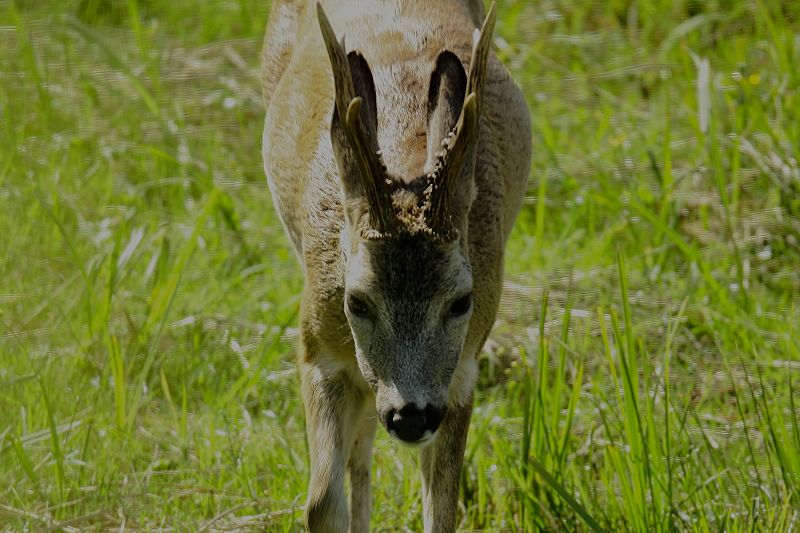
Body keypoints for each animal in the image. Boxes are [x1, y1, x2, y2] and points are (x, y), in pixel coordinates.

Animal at [260, 2, 532, 528]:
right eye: (356, 300)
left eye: (461, 301)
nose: (411, 415)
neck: (407, 166)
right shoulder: (316, 345)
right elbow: (321, 503)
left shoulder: (462, 369)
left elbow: (442, 509)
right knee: (361, 446)